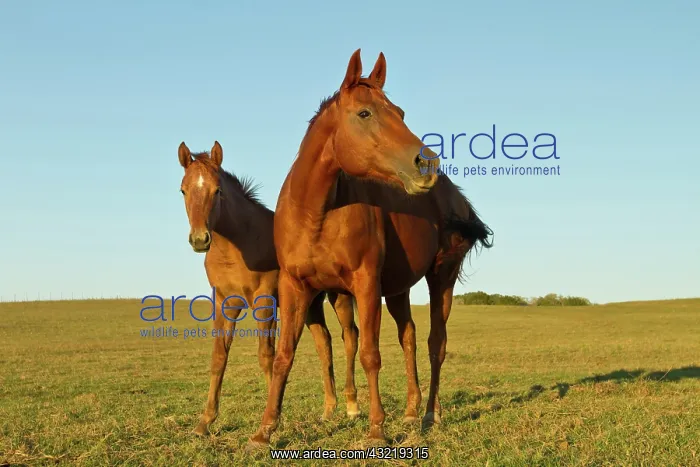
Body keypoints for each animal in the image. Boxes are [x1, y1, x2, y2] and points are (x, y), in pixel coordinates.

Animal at [177, 141, 362, 435]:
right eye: (183, 190)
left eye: (217, 190)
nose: (199, 239)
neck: (239, 244)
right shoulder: (224, 303)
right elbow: (219, 356)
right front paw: (205, 422)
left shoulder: (264, 302)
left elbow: (266, 355)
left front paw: (274, 419)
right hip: (310, 303)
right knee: (324, 342)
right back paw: (328, 410)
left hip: (339, 296)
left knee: (350, 337)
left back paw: (352, 407)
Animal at [249, 49, 492, 447]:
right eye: (365, 113)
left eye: (401, 113)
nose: (427, 163)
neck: (316, 214)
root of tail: (454, 196)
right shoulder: (294, 286)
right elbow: (284, 355)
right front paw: (264, 431)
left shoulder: (365, 285)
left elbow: (370, 355)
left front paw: (376, 430)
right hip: (397, 289)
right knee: (409, 337)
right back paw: (411, 411)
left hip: (442, 277)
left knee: (435, 343)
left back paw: (430, 415)